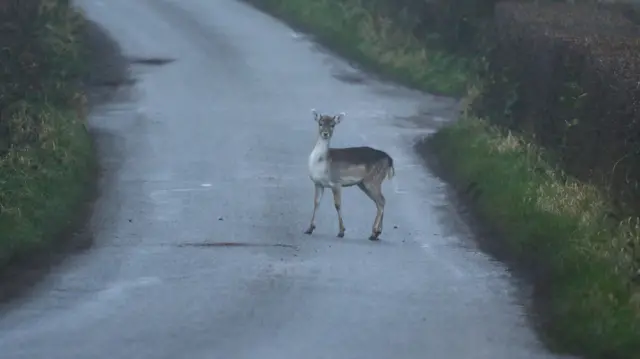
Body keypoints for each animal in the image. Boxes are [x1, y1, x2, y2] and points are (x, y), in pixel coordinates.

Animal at [302, 109, 392, 242]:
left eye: (333, 125)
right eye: (320, 123)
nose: (325, 133)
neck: (321, 163)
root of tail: (390, 160)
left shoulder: (336, 182)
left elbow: (337, 205)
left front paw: (341, 232)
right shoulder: (318, 183)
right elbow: (316, 202)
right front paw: (309, 229)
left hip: (373, 179)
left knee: (381, 201)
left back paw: (374, 233)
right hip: (363, 183)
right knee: (380, 202)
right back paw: (376, 233)